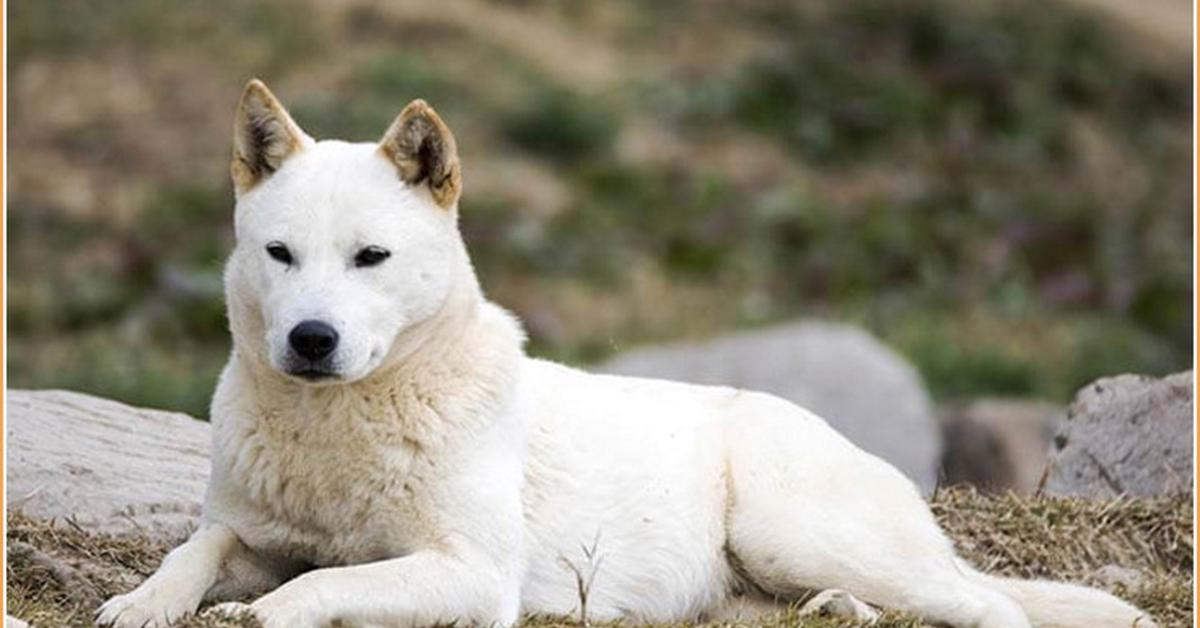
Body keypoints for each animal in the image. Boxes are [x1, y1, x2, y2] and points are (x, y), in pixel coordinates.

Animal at [98, 81, 1147, 628]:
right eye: (280, 254)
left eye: (371, 258)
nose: (310, 341)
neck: (335, 433)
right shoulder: (246, 533)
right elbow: (196, 553)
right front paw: (141, 603)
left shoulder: (471, 575)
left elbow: (319, 585)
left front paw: (251, 615)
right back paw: (834, 613)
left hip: (790, 528)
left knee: (993, 609)